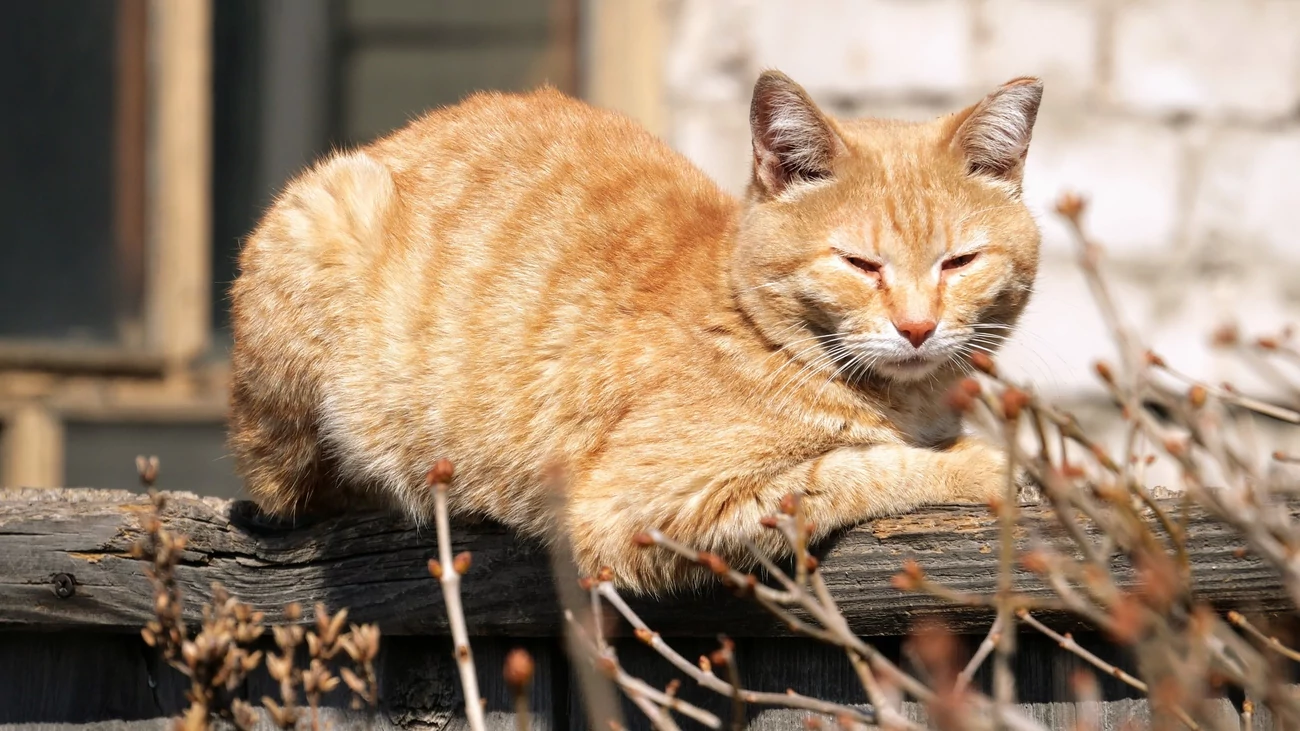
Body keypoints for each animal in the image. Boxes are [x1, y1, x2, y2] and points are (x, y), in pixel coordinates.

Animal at [228, 68, 1045, 593]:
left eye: (959, 261)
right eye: (860, 263)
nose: (917, 325)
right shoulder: (642, 509)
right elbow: (861, 467)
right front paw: (982, 465)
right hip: (320, 241)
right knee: (297, 492)